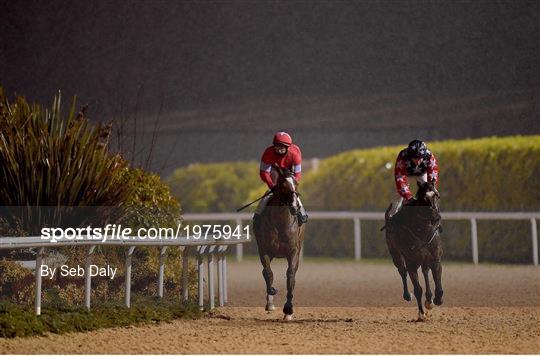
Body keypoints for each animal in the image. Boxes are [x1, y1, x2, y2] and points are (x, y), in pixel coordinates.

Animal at [253, 165, 304, 322]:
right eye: (283, 186)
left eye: (296, 183)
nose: (294, 206)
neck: (281, 223)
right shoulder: (264, 250)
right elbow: (268, 273)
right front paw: (271, 294)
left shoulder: (293, 251)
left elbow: (290, 275)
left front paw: (288, 310)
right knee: (266, 272)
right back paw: (270, 302)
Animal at [384, 179, 442, 322]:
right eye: (424, 198)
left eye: (436, 196)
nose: (436, 217)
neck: (422, 232)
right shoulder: (411, 263)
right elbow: (417, 289)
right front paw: (421, 314)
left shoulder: (435, 259)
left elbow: (438, 284)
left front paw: (436, 300)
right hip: (396, 255)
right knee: (402, 272)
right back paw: (407, 295)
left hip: (424, 260)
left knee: (425, 271)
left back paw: (429, 298)